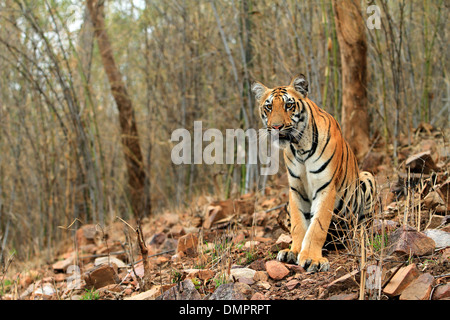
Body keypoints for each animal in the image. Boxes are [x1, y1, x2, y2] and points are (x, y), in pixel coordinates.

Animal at [251, 74, 374, 272]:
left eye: (288, 105)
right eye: (268, 107)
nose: (276, 127)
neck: (299, 147)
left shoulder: (325, 188)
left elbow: (317, 226)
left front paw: (312, 259)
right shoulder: (296, 190)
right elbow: (298, 224)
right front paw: (293, 251)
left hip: (367, 177)